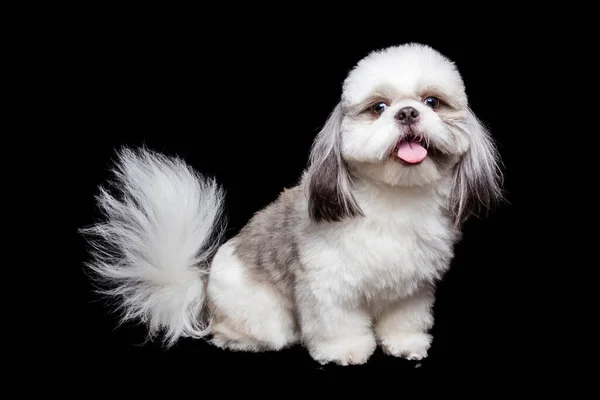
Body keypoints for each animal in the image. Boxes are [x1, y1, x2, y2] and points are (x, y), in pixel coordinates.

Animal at [79, 43, 502, 366]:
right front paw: (346, 350)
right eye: (379, 107)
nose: (408, 112)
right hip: (264, 317)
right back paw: (239, 339)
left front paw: (405, 343)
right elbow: (337, 322)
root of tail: (203, 290)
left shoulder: (411, 286)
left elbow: (404, 316)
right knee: (242, 333)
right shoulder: (329, 284)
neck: (395, 198)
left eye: (432, 102)